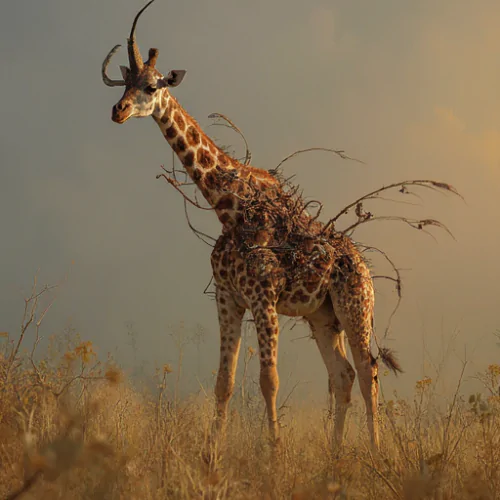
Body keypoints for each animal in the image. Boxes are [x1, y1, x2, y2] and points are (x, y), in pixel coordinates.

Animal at [99, 0, 400, 452]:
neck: (229, 208)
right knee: (343, 375)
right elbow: (224, 382)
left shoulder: (264, 298)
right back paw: (334, 454)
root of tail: (363, 266)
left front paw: (273, 453)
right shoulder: (228, 298)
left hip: (355, 304)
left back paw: (377, 453)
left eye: (151, 87)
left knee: (368, 372)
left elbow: (268, 380)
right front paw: (211, 454)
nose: (117, 111)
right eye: (124, 84)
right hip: (322, 316)